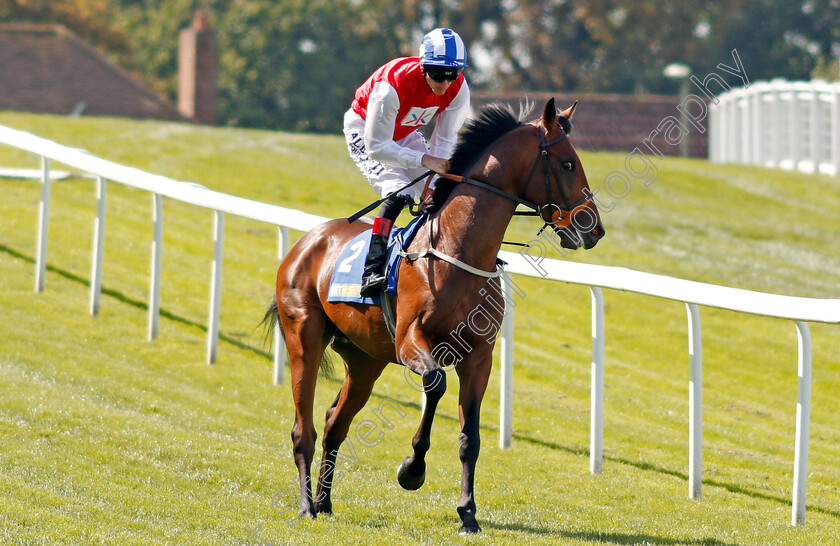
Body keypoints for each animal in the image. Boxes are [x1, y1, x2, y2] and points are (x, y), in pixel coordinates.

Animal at [262, 98, 604, 532]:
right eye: (567, 164)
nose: (593, 228)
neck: (459, 251)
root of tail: (308, 240)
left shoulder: (479, 356)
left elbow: (470, 437)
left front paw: (468, 513)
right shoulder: (411, 342)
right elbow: (435, 383)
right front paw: (412, 469)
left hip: (365, 360)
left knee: (335, 423)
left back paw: (324, 501)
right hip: (303, 339)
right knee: (302, 428)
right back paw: (307, 504)